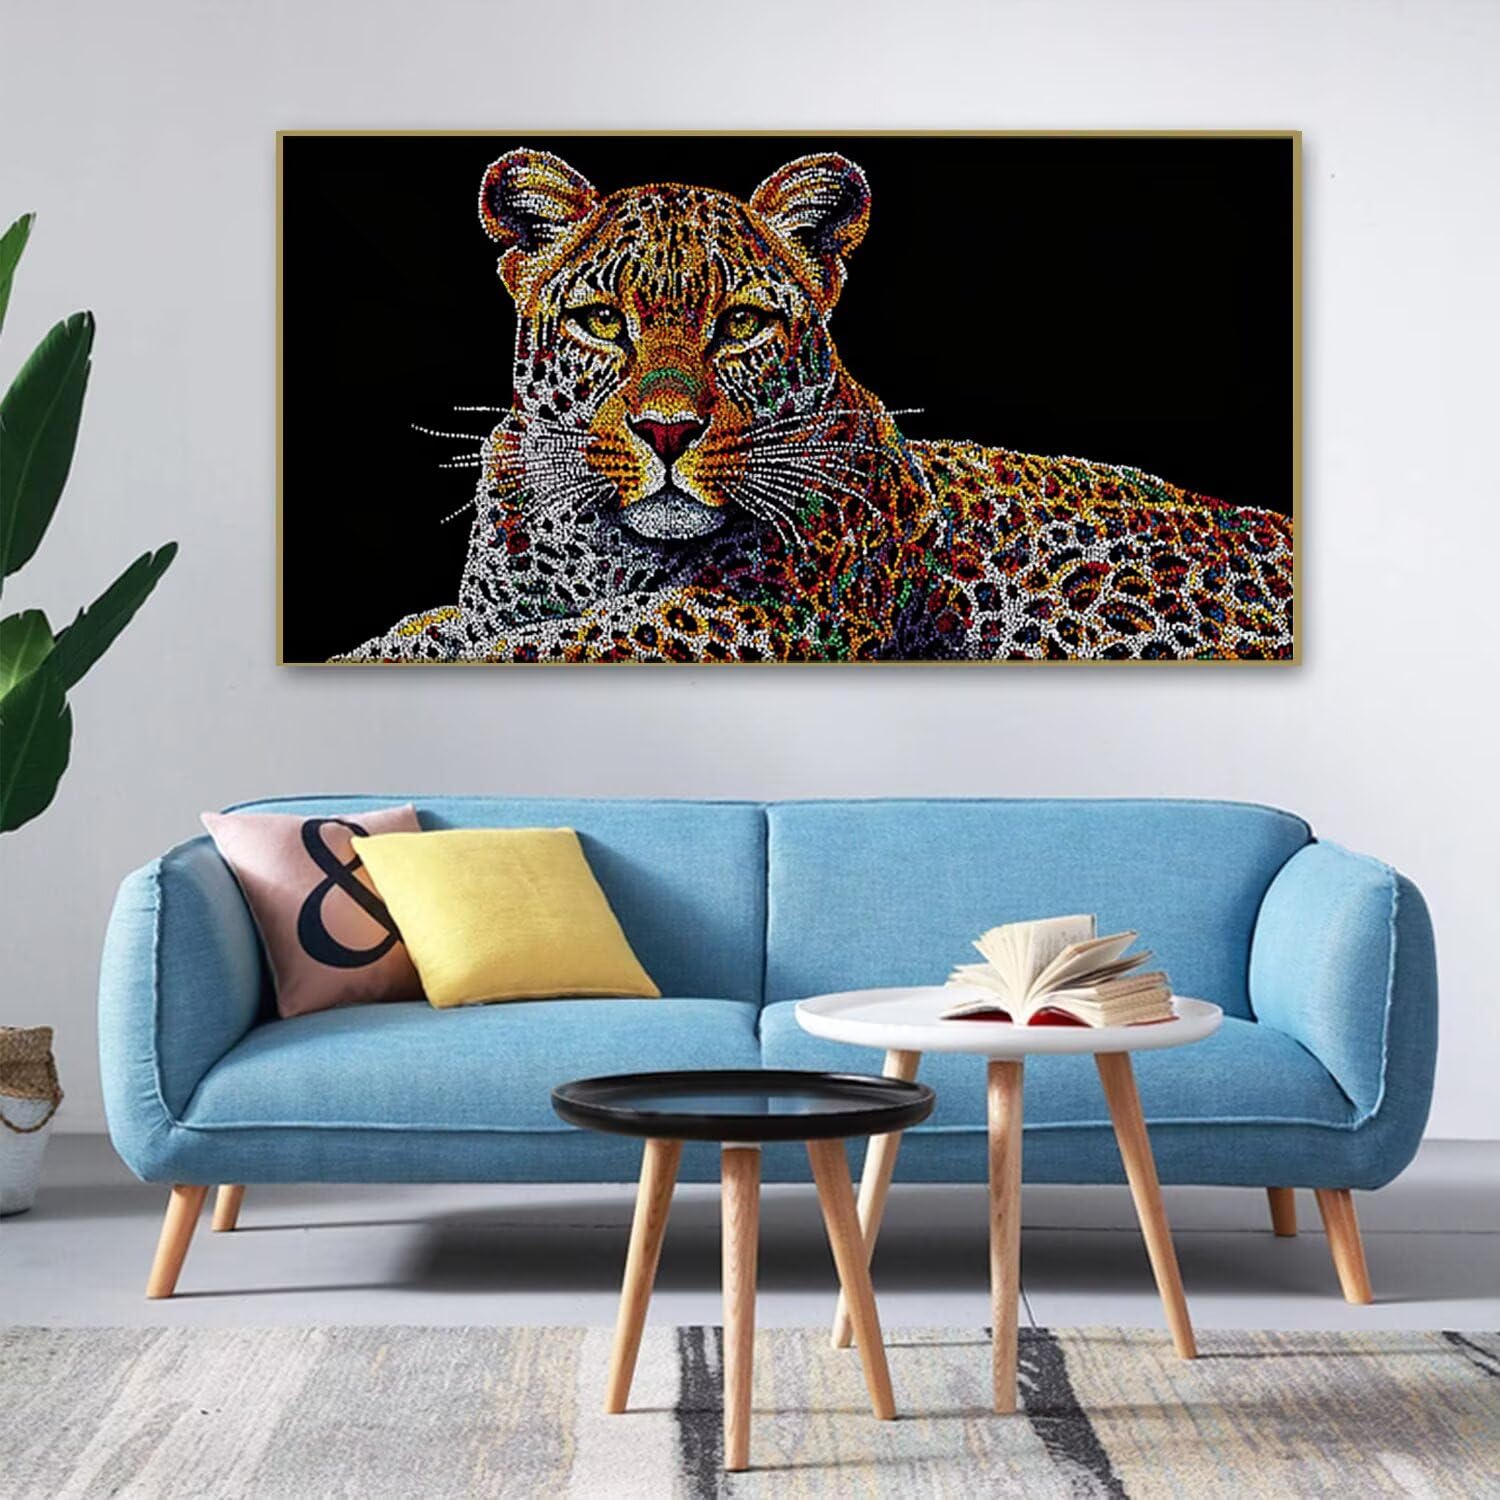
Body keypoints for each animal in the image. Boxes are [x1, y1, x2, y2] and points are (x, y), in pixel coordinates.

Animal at [339, 148, 1293, 663]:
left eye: (742, 324)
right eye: (603, 321)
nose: (667, 432)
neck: (599, 551)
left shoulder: (763, 616)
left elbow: (560, 641)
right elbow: (437, 632)